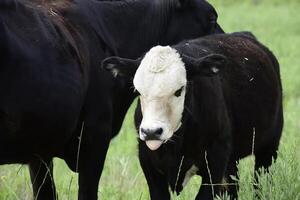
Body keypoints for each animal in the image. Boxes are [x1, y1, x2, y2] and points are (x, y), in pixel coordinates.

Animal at [102, 32, 284, 199]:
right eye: (138, 91)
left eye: (178, 91)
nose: (151, 132)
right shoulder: (149, 163)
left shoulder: (215, 162)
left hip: (269, 147)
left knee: (261, 183)